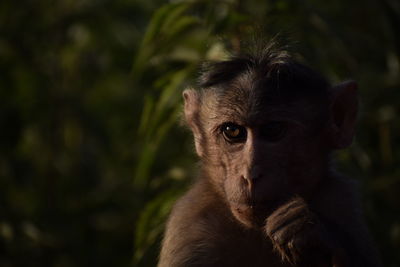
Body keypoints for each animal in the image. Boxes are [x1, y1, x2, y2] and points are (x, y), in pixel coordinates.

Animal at [157, 42, 382, 267]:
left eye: (273, 130)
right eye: (232, 131)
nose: (250, 175)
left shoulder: (341, 199)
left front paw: (312, 234)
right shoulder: (190, 228)